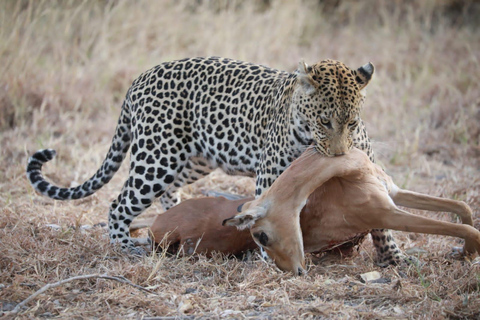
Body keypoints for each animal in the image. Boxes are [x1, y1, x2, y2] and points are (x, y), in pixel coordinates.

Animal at [28, 55, 404, 264]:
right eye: (325, 121)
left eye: (351, 122)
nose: (340, 155)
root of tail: (139, 79)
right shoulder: (270, 174)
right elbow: (268, 216)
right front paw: (270, 257)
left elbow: (382, 219)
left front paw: (393, 258)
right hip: (157, 158)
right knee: (120, 202)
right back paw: (124, 246)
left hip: (193, 159)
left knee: (169, 192)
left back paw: (175, 220)